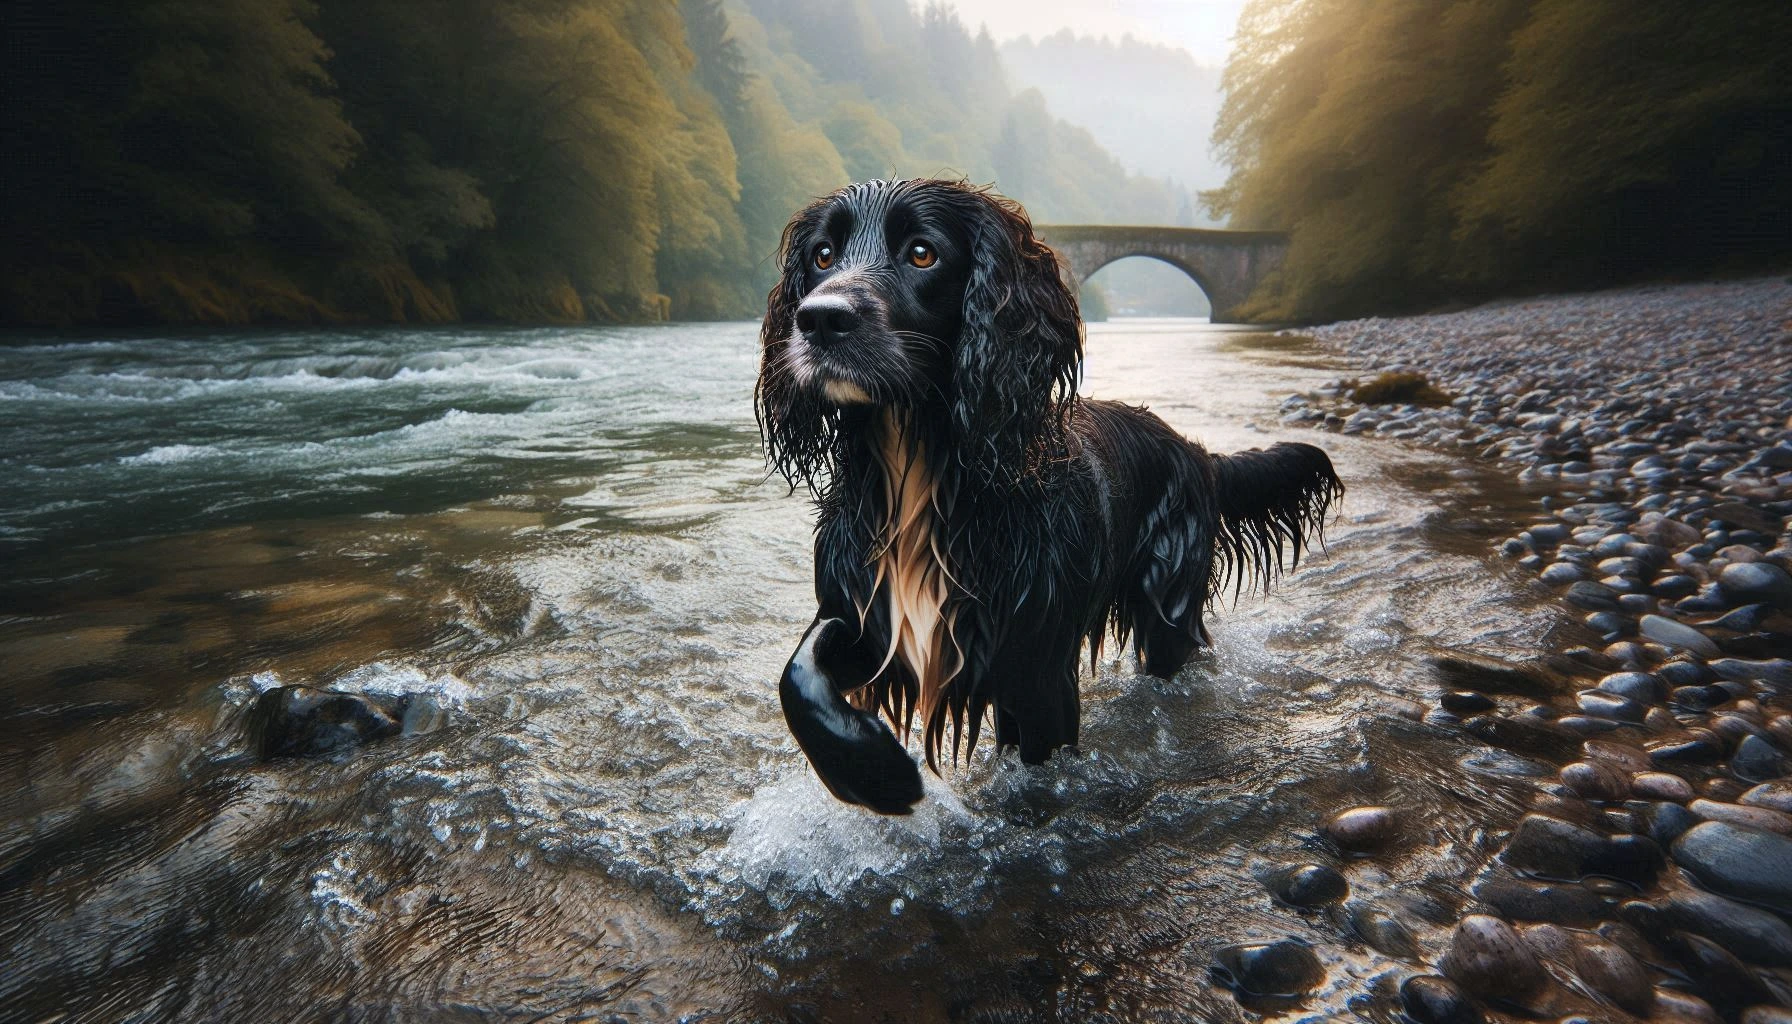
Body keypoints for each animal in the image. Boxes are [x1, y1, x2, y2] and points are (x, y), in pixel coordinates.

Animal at [749, 180, 1340, 814]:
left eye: (922, 253)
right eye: (823, 255)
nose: (818, 320)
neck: (922, 477)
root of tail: (1196, 451)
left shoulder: (1037, 674)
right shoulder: (862, 609)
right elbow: (798, 674)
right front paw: (869, 768)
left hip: (1167, 611)